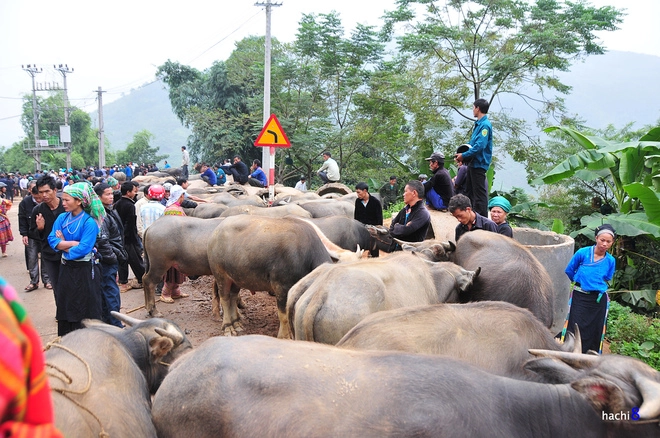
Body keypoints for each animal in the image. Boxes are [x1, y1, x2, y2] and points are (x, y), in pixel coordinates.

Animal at [208, 216, 358, 338]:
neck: (304, 255)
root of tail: (216, 232)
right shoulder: (281, 287)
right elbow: (284, 315)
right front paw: (285, 336)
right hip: (220, 275)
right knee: (225, 298)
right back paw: (228, 326)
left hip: (237, 278)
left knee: (233, 296)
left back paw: (237, 323)